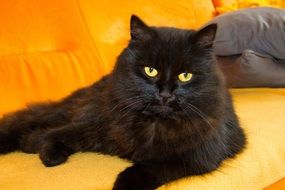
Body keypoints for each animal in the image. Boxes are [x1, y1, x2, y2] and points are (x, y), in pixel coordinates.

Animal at [0, 15, 244, 189]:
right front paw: (45, 152)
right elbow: (59, 134)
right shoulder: (99, 124)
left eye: (185, 76)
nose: (165, 94)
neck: (154, 123)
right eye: (150, 70)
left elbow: (150, 168)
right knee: (34, 122)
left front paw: (122, 184)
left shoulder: (196, 156)